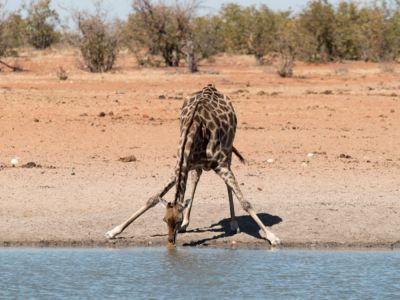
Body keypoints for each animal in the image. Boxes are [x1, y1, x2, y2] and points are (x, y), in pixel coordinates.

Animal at [106, 84, 282, 246]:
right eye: (164, 220)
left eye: (177, 220)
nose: (170, 241)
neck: (195, 130)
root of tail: (211, 86)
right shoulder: (180, 167)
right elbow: (153, 198)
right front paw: (113, 231)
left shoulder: (221, 165)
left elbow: (245, 202)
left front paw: (272, 236)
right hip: (197, 165)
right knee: (195, 179)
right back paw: (188, 224)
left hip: (228, 151)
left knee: (227, 185)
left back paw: (233, 224)